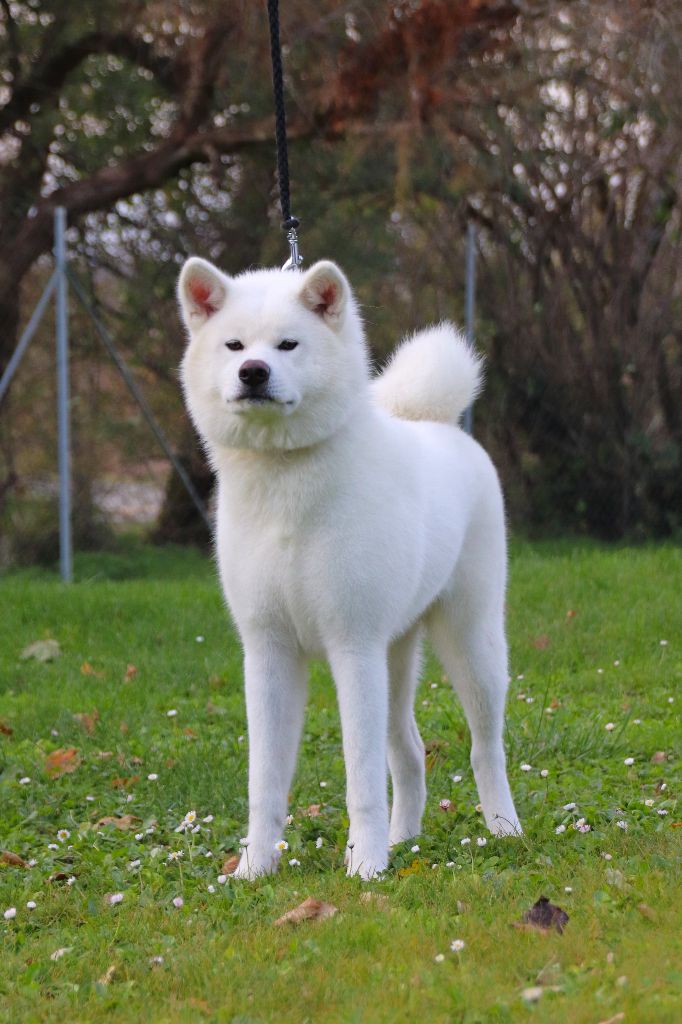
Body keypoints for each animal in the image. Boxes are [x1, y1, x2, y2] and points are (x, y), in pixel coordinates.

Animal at [178, 256, 518, 880]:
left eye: (288, 344)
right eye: (234, 345)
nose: (253, 372)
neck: (285, 482)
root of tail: (437, 423)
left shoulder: (352, 647)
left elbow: (360, 777)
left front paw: (364, 867)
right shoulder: (269, 654)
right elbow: (265, 781)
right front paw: (254, 868)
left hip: (471, 644)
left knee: (486, 748)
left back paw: (504, 828)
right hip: (396, 655)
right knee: (409, 751)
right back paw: (405, 839)